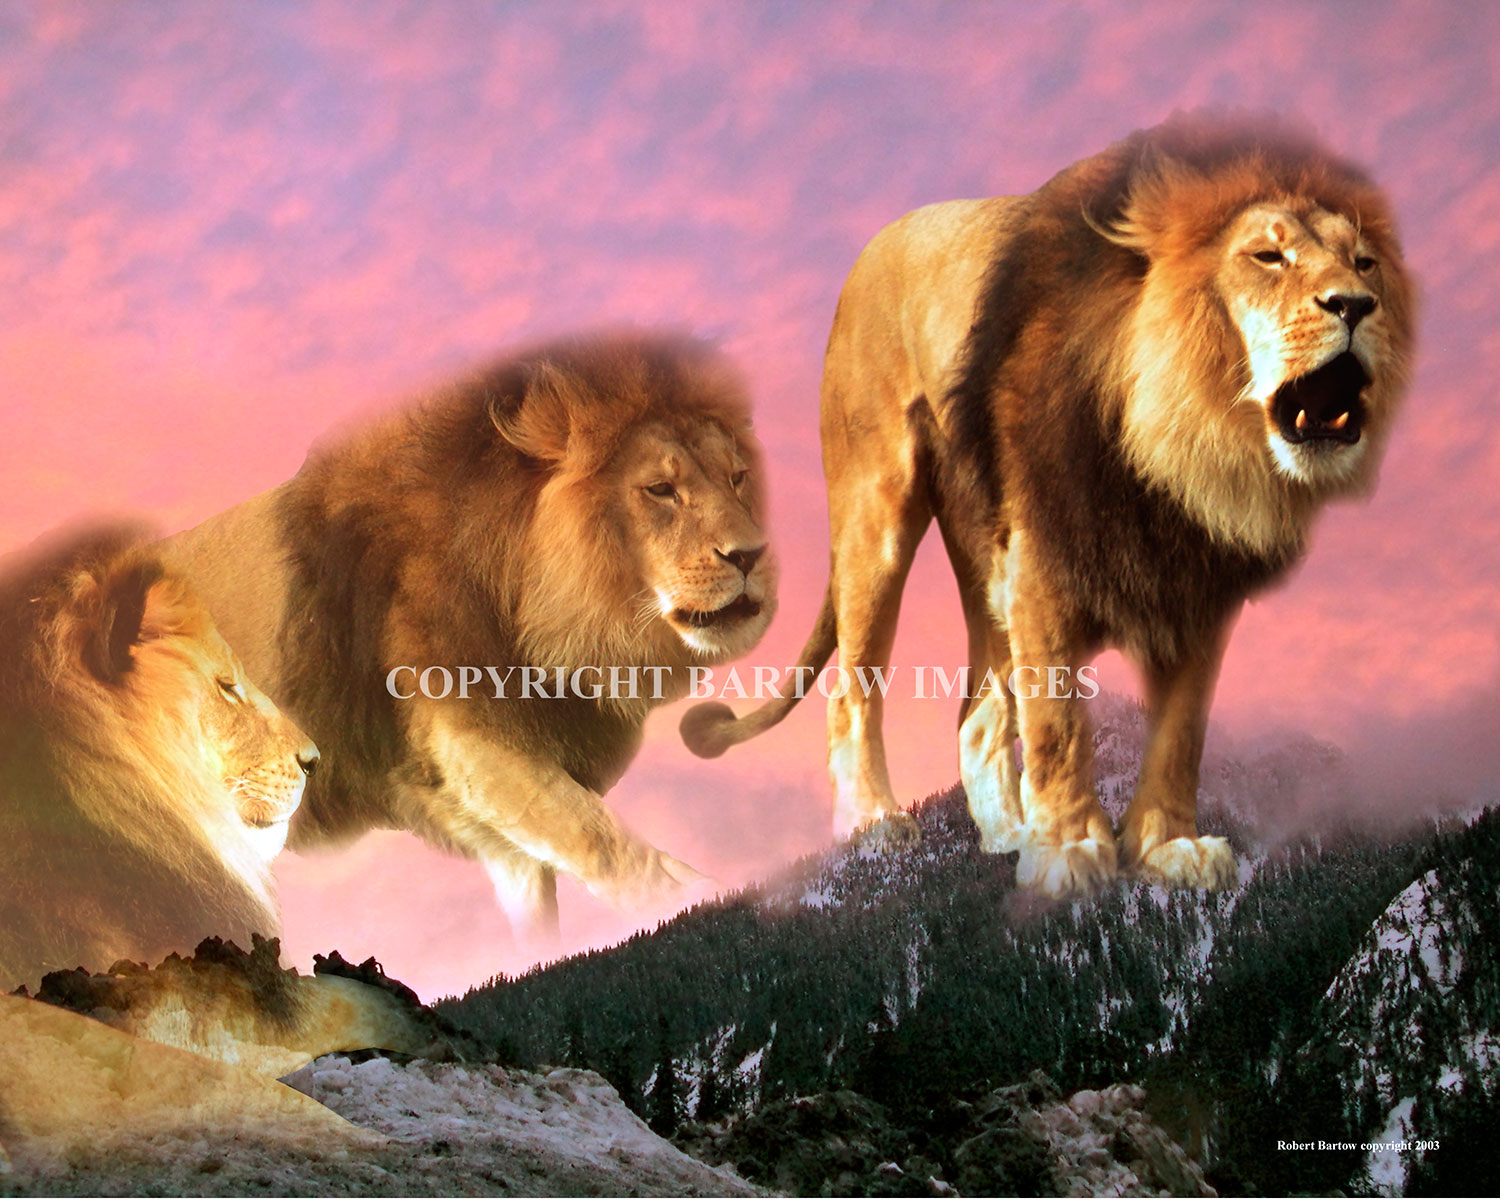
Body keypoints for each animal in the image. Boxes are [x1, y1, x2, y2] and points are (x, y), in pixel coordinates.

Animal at [160, 334, 775, 944]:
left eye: (737, 477)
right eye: (660, 489)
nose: (751, 556)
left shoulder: (502, 814)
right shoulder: (461, 732)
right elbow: (601, 838)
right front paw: (704, 896)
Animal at [681, 113, 1414, 897]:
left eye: (1365, 263)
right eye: (1268, 257)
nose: (1355, 306)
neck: (1178, 449)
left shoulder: (1198, 585)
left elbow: (1180, 731)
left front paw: (1166, 848)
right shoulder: (1043, 557)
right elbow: (1058, 720)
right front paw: (1068, 852)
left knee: (977, 707)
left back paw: (1006, 834)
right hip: (875, 517)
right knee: (855, 689)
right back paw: (874, 826)